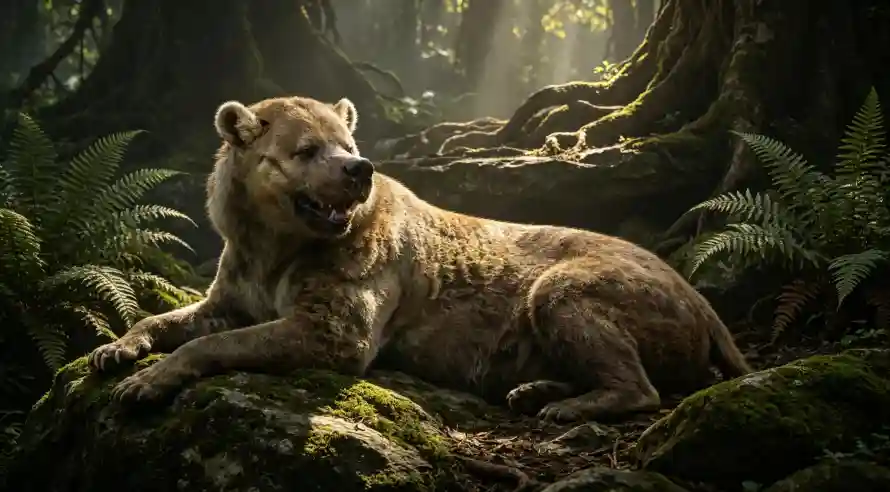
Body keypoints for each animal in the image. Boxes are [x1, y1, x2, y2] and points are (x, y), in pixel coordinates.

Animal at [88, 94, 751, 422]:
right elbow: (166, 320)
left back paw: (562, 406)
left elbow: (212, 345)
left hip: (564, 289)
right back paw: (532, 390)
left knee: (639, 385)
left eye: (347, 142)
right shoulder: (229, 296)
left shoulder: (336, 329)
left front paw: (144, 384)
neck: (268, 245)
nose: (358, 169)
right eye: (306, 149)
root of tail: (703, 301)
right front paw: (114, 350)